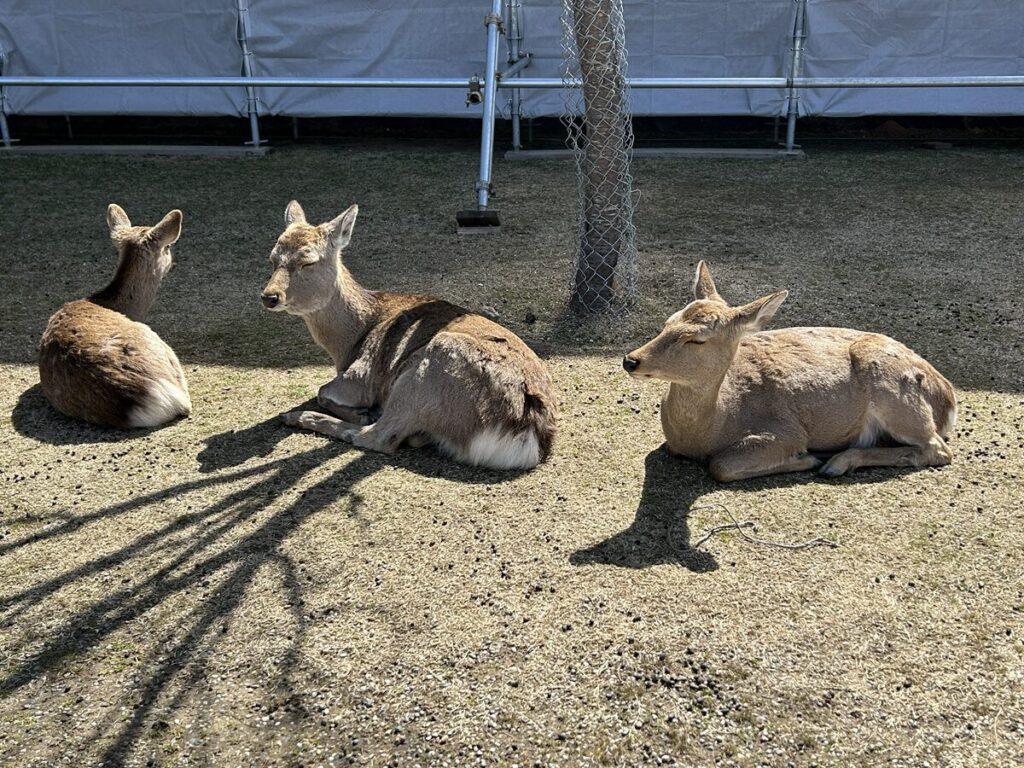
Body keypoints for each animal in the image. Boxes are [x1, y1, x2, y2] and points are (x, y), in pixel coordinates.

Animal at [261, 200, 557, 470]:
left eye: (307, 261)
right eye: (272, 258)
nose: (269, 296)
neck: (347, 344)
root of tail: (528, 438)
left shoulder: (360, 376)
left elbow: (323, 390)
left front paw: (362, 411)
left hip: (427, 370)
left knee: (380, 437)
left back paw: (299, 416)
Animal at [623, 261, 956, 482]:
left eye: (697, 339)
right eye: (668, 322)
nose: (631, 360)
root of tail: (947, 397)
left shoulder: (785, 430)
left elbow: (721, 467)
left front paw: (806, 458)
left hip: (896, 395)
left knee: (937, 449)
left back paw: (836, 462)